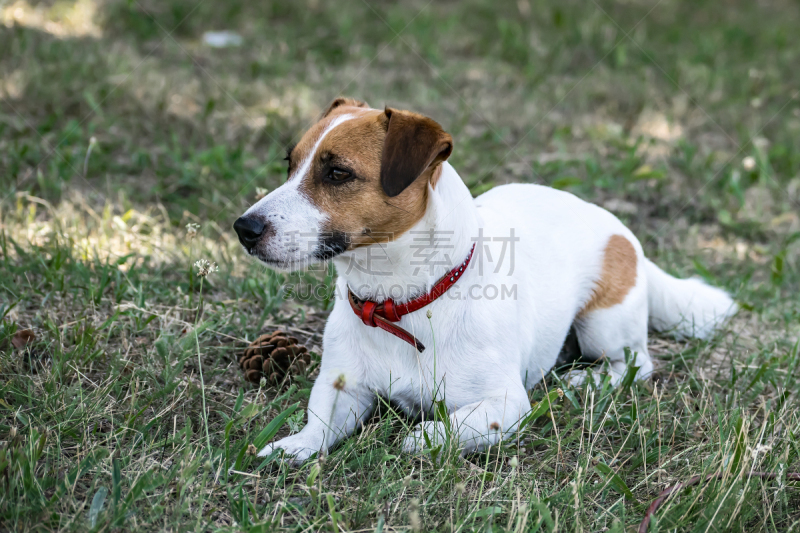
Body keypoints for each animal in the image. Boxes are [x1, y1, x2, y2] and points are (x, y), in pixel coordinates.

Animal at [231, 97, 736, 464]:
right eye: (290, 164)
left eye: (337, 172)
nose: (243, 228)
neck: (401, 304)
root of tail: (623, 232)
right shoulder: (343, 386)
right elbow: (320, 423)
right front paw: (297, 444)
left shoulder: (505, 405)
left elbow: (442, 430)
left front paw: (425, 435)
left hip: (604, 327)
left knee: (635, 364)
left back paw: (585, 381)